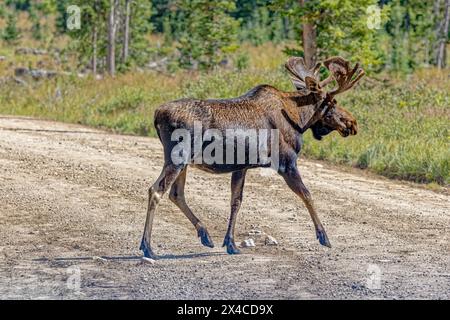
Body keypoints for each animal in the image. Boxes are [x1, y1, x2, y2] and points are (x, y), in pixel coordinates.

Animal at [141, 56, 366, 258]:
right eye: (333, 102)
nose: (352, 123)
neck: (299, 119)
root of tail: (156, 115)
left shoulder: (242, 166)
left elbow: (236, 201)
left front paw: (230, 244)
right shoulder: (286, 163)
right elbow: (307, 194)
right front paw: (324, 237)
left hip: (184, 161)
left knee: (176, 194)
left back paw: (205, 235)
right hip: (178, 157)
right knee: (156, 190)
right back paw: (148, 247)